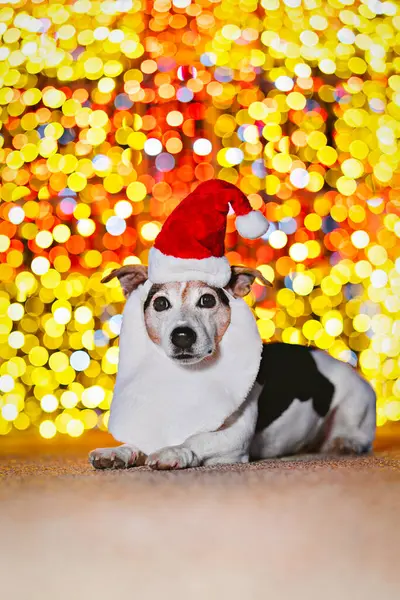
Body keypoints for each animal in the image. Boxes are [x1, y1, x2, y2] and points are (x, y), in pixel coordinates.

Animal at [89, 266, 376, 468]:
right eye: (160, 303)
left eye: (207, 300)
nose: (182, 336)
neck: (187, 377)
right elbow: (136, 443)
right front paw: (119, 452)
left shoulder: (234, 438)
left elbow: (197, 438)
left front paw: (175, 451)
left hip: (355, 400)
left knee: (355, 433)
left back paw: (346, 441)